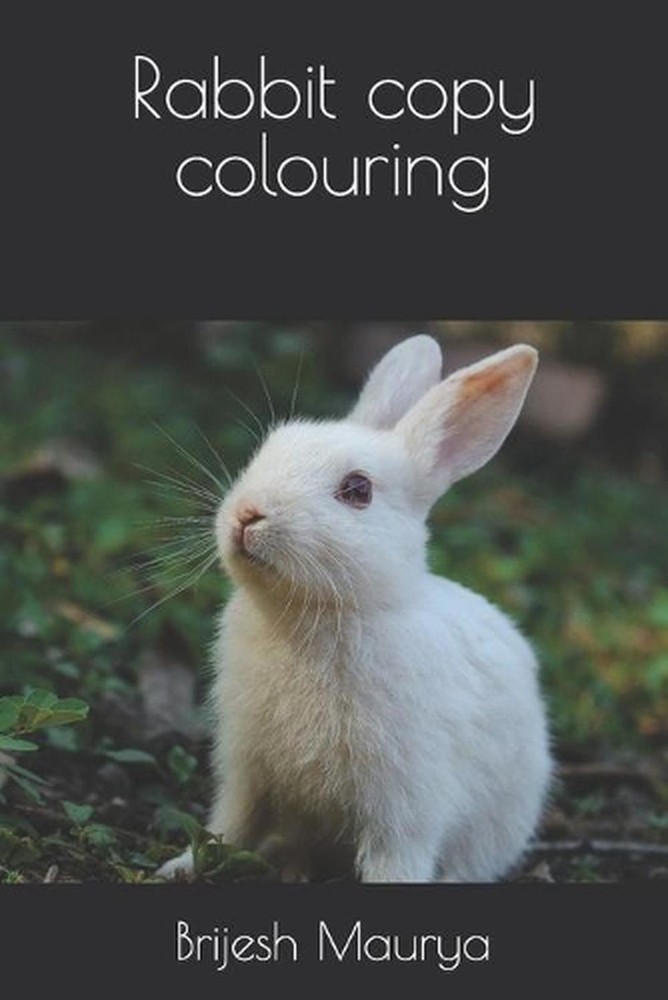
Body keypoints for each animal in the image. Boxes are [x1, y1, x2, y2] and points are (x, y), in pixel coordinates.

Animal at [158, 335, 552, 883]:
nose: (247, 515)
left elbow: (395, 863)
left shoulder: (403, 807)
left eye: (357, 490)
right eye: (268, 450)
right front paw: (177, 867)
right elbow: (227, 826)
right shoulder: (246, 770)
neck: (318, 613)